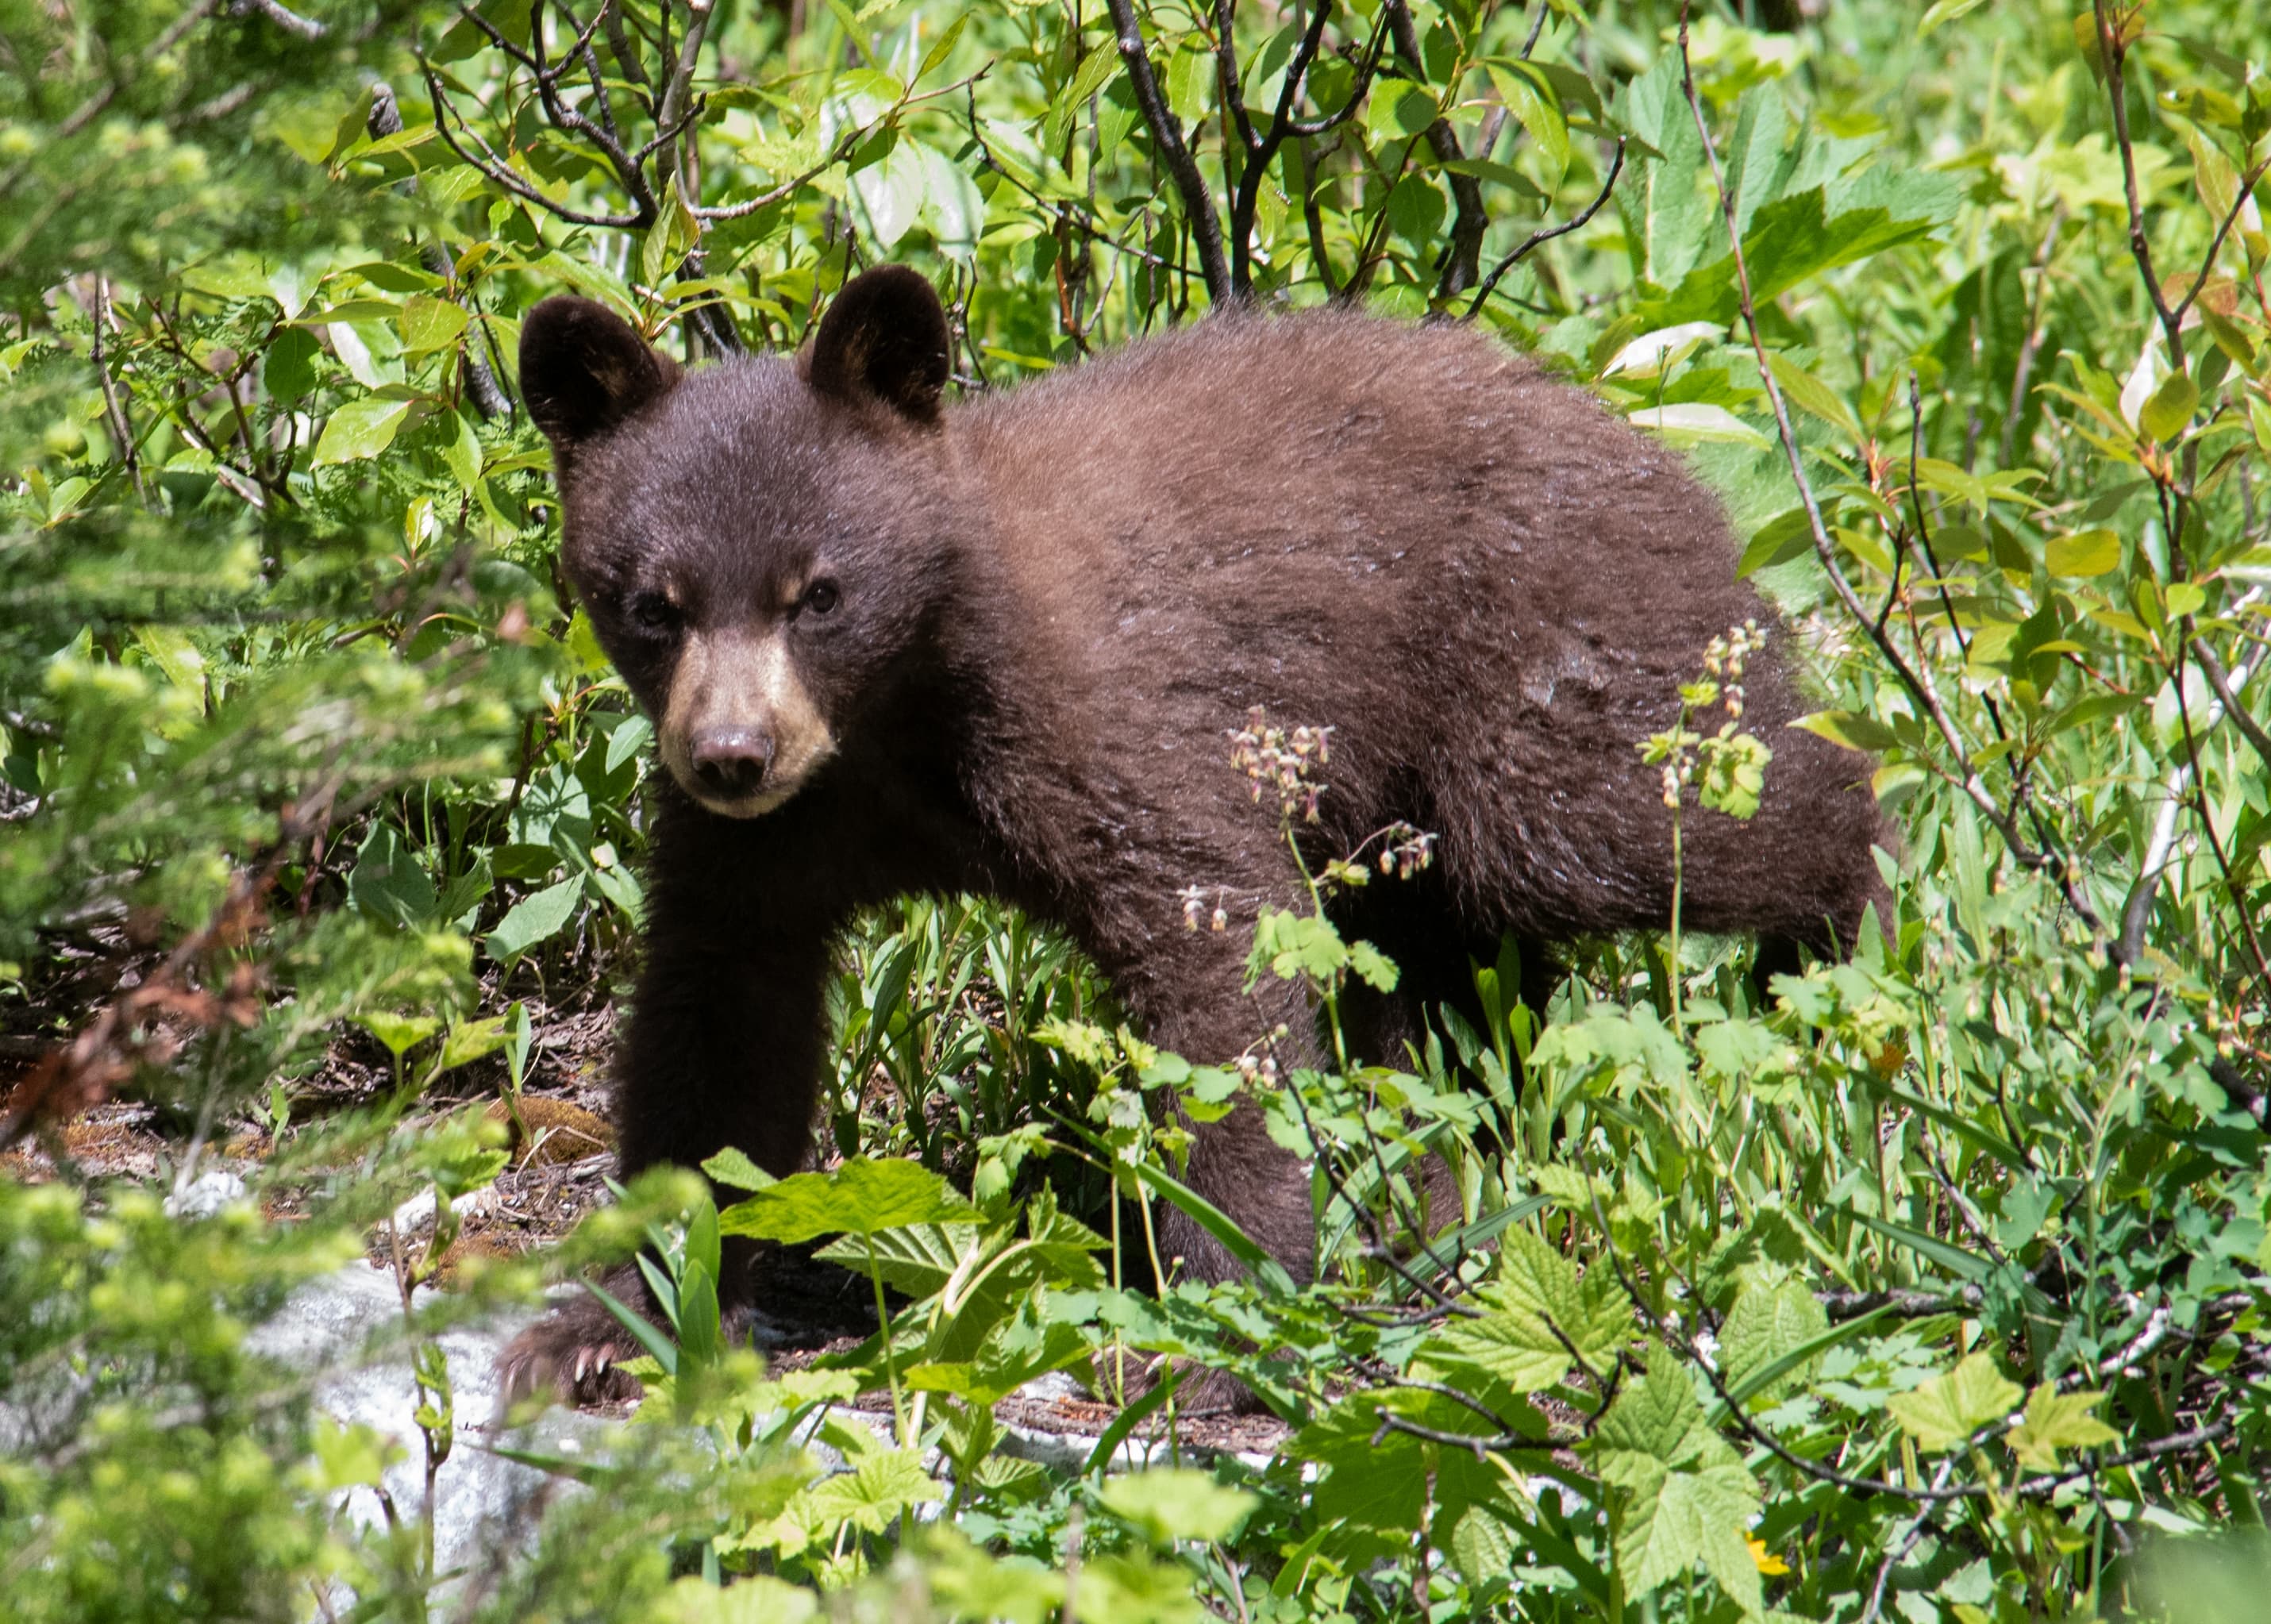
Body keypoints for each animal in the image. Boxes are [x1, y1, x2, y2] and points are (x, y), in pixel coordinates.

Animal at [497, 265, 1886, 1408]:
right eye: (653, 602)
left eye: (819, 592)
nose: (735, 753)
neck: (897, 721)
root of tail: (1646, 438)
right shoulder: (766, 848)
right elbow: (719, 1032)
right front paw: (613, 1321)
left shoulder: (1105, 726)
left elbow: (1216, 961)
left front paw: (1217, 1320)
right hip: (1397, 811)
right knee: (1436, 995)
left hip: (1541, 690)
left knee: (1688, 815)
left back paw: (1850, 960)